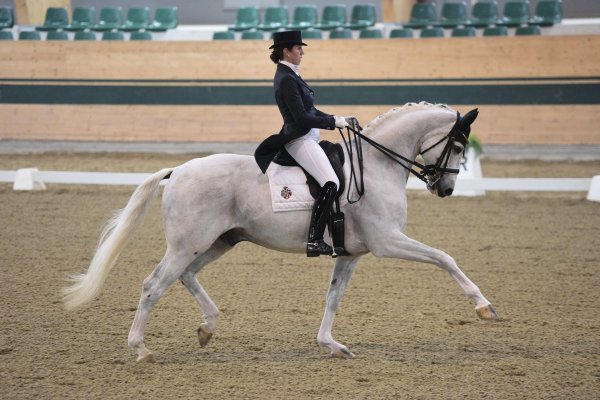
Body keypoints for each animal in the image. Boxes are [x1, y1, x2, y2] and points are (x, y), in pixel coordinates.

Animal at [63, 101, 500, 362]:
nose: (446, 189)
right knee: (154, 284)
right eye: (457, 146)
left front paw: (331, 345)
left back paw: (207, 327)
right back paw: (141, 349)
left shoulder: (352, 253)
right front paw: (483, 307)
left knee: (186, 276)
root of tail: (179, 170)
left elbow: (334, 297)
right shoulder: (387, 241)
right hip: (189, 244)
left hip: (219, 241)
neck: (377, 164)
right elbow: (445, 257)